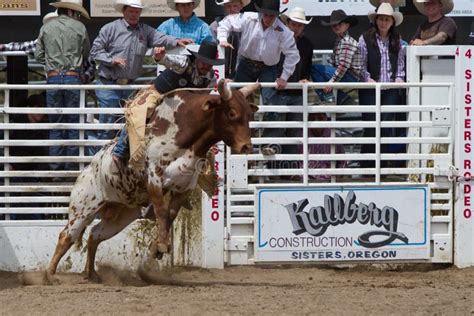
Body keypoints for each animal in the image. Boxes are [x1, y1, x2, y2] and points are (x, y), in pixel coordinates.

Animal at [44, 80, 260, 282]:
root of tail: (86, 171)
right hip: (82, 208)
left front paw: (156, 247)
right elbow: (162, 211)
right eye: (231, 113)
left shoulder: (184, 187)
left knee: (95, 235)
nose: (246, 146)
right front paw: (163, 245)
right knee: (66, 236)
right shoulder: (154, 179)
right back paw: (49, 276)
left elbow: (170, 215)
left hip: (120, 216)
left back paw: (92, 274)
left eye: (249, 114)